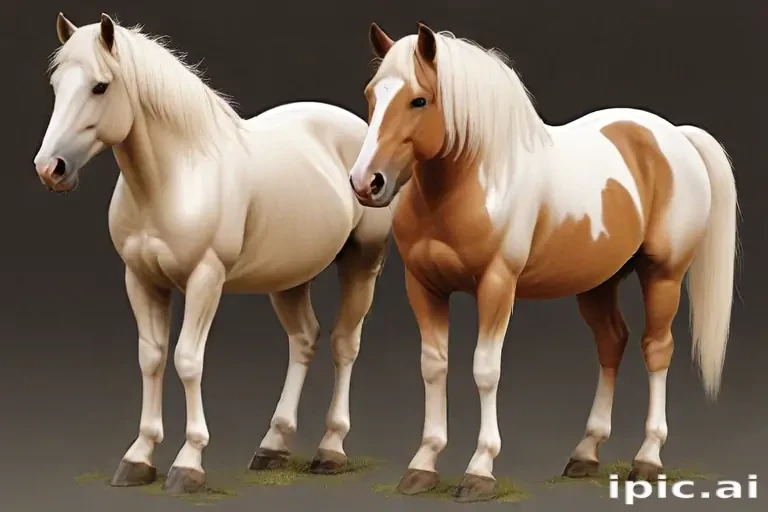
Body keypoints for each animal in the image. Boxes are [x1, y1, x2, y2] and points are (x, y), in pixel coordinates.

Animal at [33, 13, 395, 494]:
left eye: (100, 86)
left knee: (344, 344)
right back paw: (273, 446)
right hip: (289, 276)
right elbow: (151, 358)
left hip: (362, 261)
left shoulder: (206, 278)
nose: (49, 168)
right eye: (57, 84)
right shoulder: (140, 279)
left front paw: (188, 463)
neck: (173, 177)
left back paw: (330, 450)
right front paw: (139, 457)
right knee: (304, 339)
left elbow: (187, 360)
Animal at [348, 22, 739, 502]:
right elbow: (433, 367)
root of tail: (676, 136)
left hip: (662, 275)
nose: (366, 182)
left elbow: (485, 370)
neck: (476, 177)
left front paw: (480, 470)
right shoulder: (423, 286)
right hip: (599, 282)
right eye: (372, 95)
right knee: (612, 343)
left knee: (656, 350)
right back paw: (586, 452)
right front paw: (423, 464)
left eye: (419, 100)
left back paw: (647, 458)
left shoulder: (497, 285)